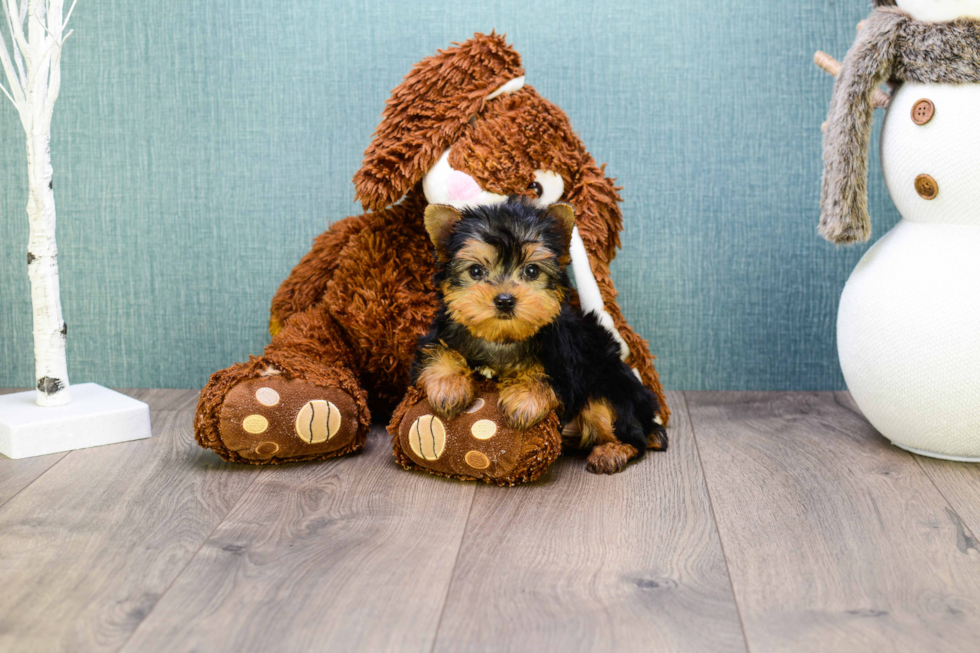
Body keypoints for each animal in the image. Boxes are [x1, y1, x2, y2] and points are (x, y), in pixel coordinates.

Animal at [414, 196, 668, 472]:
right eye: (476, 271)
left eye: (532, 271)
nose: (505, 300)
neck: (502, 339)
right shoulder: (440, 333)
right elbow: (439, 351)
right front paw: (448, 386)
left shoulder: (567, 363)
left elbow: (546, 377)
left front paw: (525, 399)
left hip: (610, 385)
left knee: (628, 432)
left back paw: (613, 450)